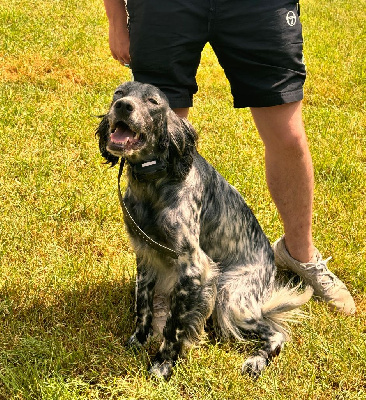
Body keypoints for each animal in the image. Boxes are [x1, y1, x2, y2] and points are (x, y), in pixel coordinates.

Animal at [96, 80, 314, 378]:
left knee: (276, 332)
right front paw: (138, 340)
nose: (123, 106)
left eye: (153, 102)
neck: (155, 182)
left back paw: (257, 361)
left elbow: (174, 325)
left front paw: (163, 364)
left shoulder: (194, 267)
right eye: (119, 93)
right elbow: (143, 306)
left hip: (230, 295)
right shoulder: (146, 256)